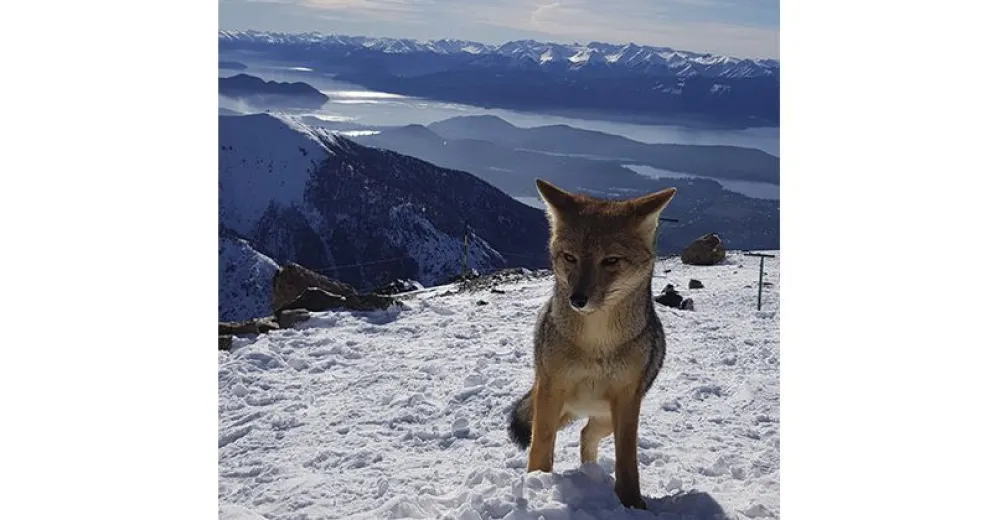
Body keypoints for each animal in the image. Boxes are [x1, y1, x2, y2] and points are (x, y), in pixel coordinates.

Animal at [507, 178, 677, 510]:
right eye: (570, 257)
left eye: (611, 261)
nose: (578, 299)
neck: (596, 346)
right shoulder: (551, 389)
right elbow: (540, 445)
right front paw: (536, 484)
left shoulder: (626, 402)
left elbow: (627, 460)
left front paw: (632, 502)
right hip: (557, 405)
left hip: (605, 420)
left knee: (586, 434)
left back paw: (590, 474)